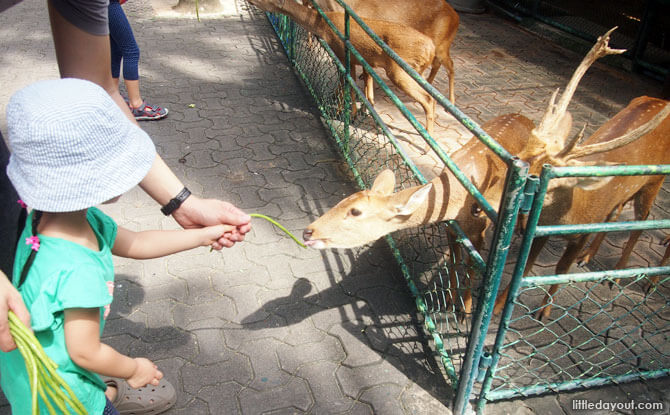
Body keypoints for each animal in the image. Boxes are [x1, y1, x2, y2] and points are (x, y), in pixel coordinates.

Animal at [249, 0, 438, 134]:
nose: (250, 0)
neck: (324, 27)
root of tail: (431, 49)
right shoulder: (351, 59)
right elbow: (348, 85)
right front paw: (349, 111)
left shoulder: (341, 52)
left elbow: (347, 84)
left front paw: (344, 113)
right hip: (416, 70)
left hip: (400, 69)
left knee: (428, 98)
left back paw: (426, 142)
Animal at [302, 27, 670, 322]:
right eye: (345, 199)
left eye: (355, 212)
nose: (308, 231)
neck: (453, 197)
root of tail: (524, 116)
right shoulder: (452, 226)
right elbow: (454, 260)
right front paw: (452, 299)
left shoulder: (477, 228)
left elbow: (470, 264)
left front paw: (465, 310)